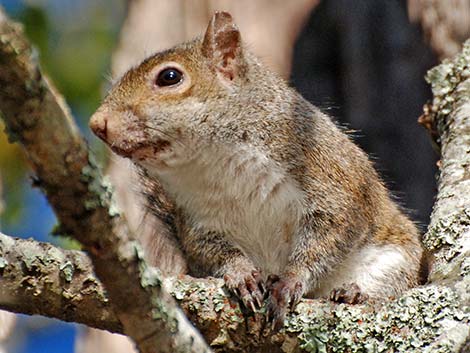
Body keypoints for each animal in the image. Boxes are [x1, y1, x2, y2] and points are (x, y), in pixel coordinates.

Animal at [88, 11, 426, 328]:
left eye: (169, 77)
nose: (97, 123)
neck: (216, 160)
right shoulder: (196, 221)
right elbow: (210, 250)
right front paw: (241, 274)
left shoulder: (329, 175)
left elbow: (329, 234)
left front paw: (291, 279)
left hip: (394, 258)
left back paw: (355, 293)